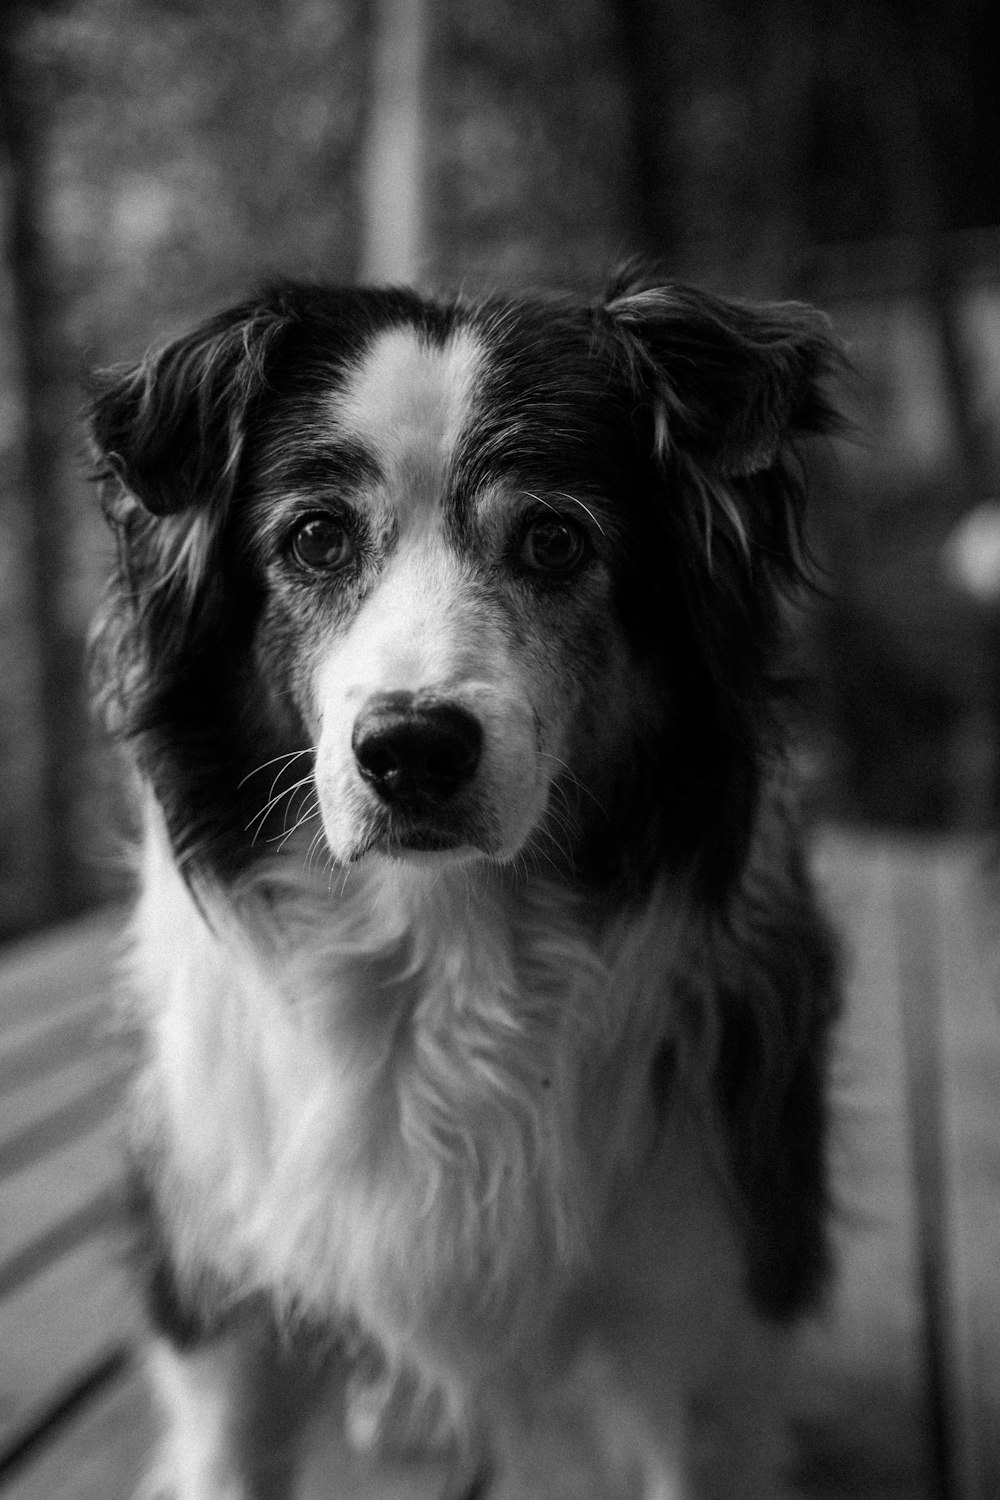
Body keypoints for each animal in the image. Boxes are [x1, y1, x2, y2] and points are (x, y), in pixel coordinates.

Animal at [89, 270, 845, 1500]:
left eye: (552, 539)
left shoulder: (702, 1330)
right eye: (316, 538)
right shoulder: (221, 1312)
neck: (441, 950)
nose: (411, 750)